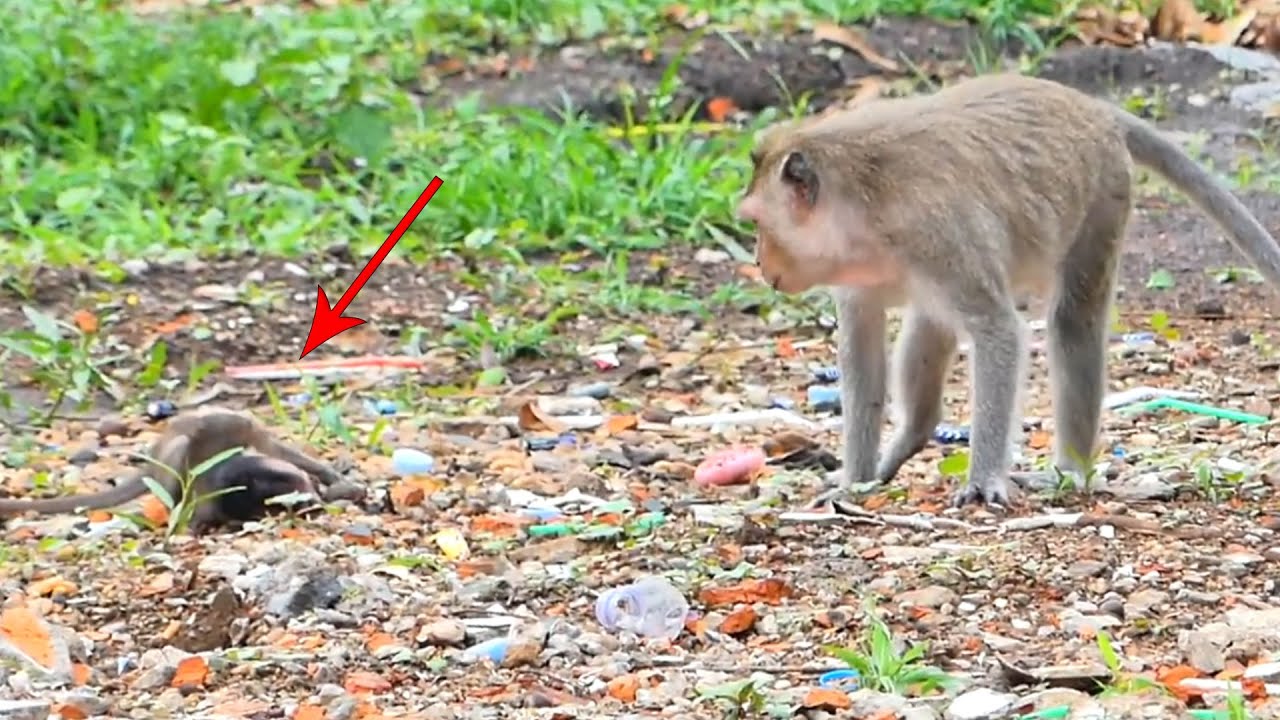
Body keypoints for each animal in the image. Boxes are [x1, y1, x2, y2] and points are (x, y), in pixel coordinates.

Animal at [735, 72, 1280, 509]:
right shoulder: (858, 274)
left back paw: (1070, 471)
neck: (865, 207)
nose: (759, 260)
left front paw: (982, 480)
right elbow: (864, 353)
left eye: (759, 224)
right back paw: (911, 437)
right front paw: (855, 480)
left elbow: (998, 333)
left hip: (1105, 191)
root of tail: (1089, 106)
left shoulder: (940, 234)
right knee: (931, 326)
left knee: (1074, 321)